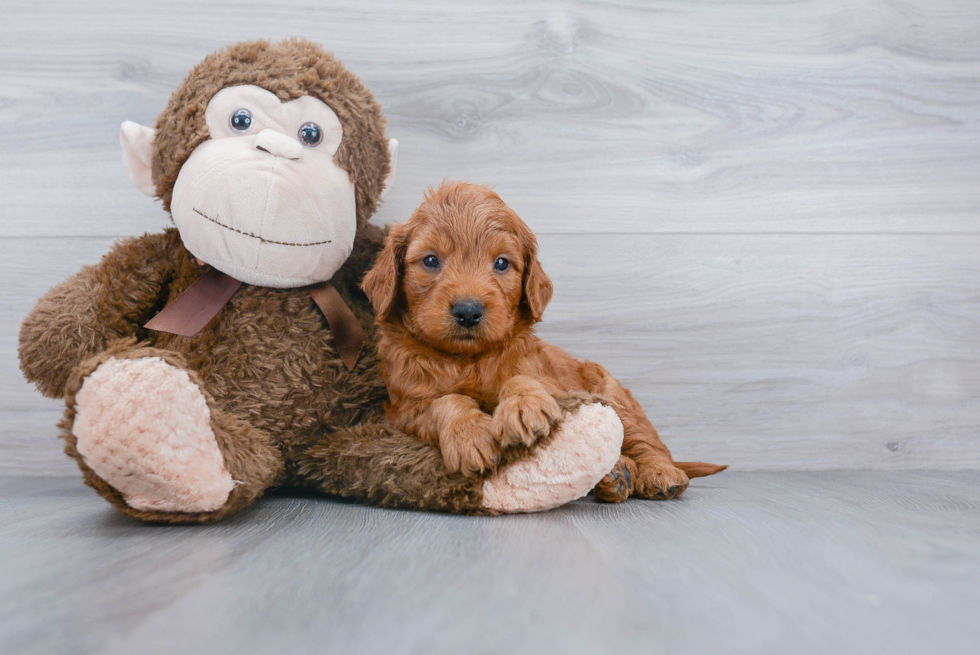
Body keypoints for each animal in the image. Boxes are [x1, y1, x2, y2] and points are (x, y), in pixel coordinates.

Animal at [364, 181, 724, 502]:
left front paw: (524, 405)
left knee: (648, 443)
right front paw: (471, 434)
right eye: (430, 260)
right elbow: (445, 401)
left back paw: (658, 473)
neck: (469, 358)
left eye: (501, 263)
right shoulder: (404, 409)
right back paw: (617, 475)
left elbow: (523, 377)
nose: (468, 311)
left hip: (616, 396)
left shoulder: (553, 383)